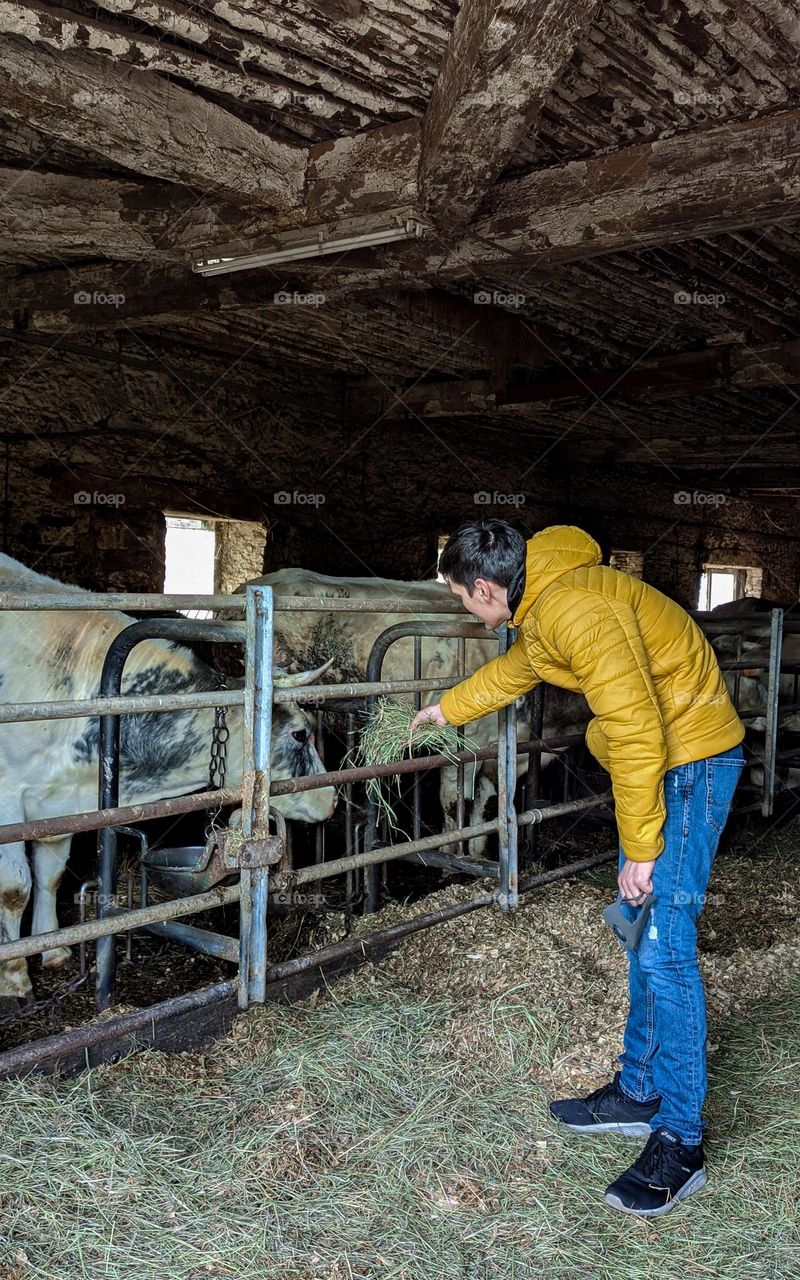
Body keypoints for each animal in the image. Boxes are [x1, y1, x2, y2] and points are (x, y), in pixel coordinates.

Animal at [0, 555, 337, 1003]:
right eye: (301, 733)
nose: (332, 797)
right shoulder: (8, 797)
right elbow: (14, 887)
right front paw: (15, 976)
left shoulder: (57, 803)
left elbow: (50, 875)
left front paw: (53, 949)